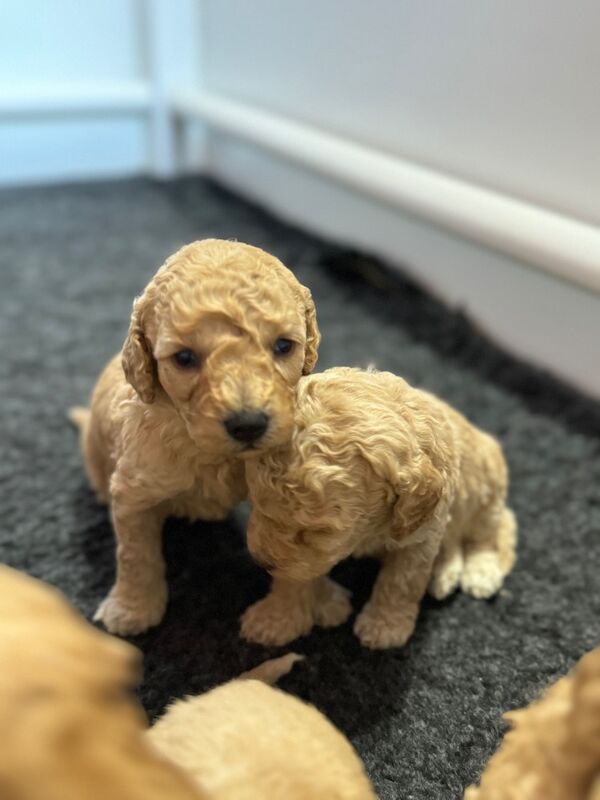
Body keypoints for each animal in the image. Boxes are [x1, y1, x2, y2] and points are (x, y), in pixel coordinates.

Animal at [71, 239, 318, 636]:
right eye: (184, 358)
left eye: (283, 346)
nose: (248, 425)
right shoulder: (133, 492)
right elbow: (136, 555)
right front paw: (132, 609)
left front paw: (281, 618)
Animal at [239, 368, 516, 648]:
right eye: (255, 503)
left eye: (319, 531)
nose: (263, 562)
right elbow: (294, 577)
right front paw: (276, 617)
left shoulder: (420, 537)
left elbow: (400, 582)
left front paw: (384, 625)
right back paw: (444, 573)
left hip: (488, 493)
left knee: (486, 536)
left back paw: (480, 572)